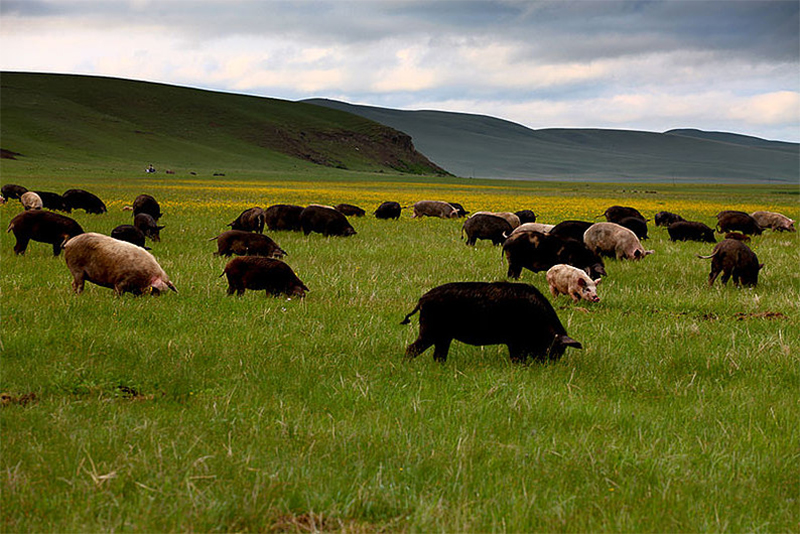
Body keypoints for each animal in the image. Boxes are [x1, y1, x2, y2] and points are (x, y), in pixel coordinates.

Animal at [400, 280, 580, 364]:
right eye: (556, 349)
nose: (546, 365)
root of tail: (422, 300)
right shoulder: (515, 341)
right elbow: (517, 359)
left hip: (443, 337)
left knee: (438, 356)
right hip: (430, 332)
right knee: (411, 349)